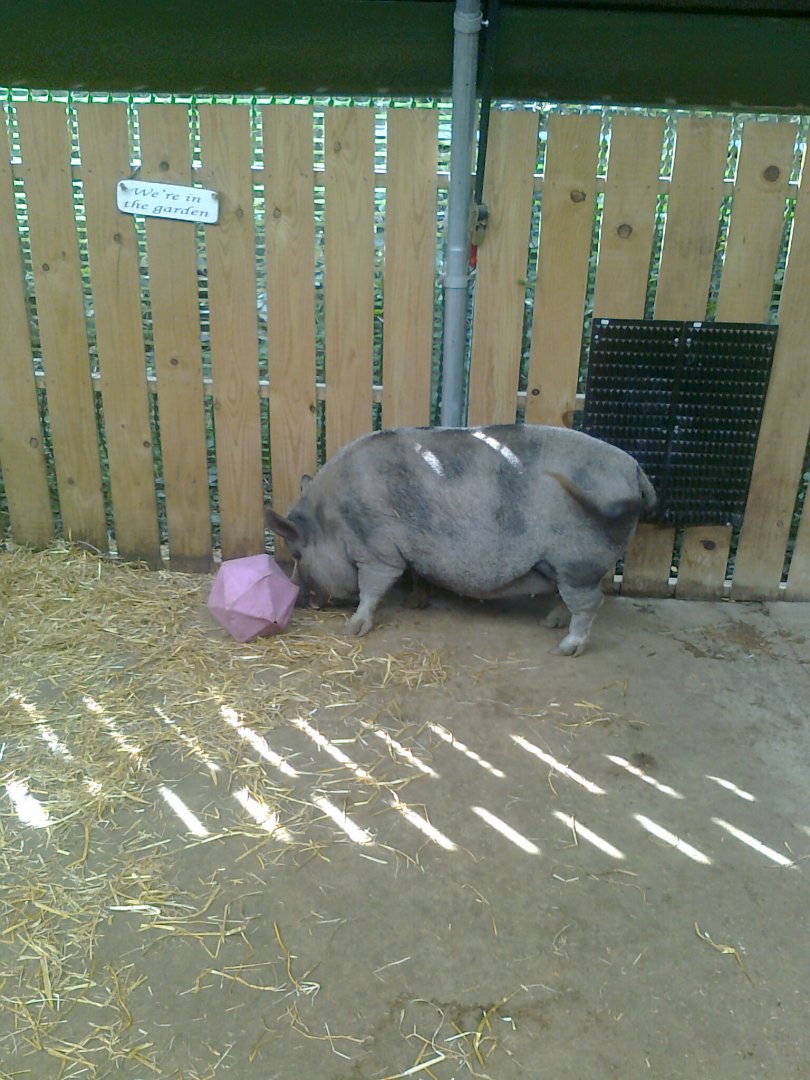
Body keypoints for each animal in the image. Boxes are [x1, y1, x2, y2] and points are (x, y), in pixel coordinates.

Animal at [266, 424, 656, 655]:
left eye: (297, 554)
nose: (298, 597)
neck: (334, 517)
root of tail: (635, 469)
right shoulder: (409, 551)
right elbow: (415, 573)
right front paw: (414, 603)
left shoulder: (377, 550)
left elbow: (372, 588)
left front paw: (352, 629)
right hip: (566, 564)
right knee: (571, 598)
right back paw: (551, 622)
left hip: (580, 559)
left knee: (591, 603)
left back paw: (566, 646)